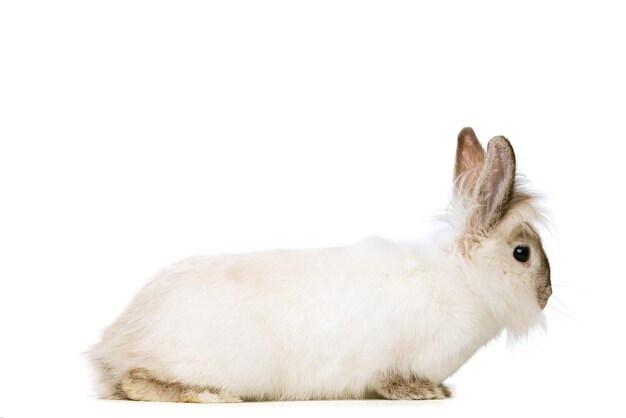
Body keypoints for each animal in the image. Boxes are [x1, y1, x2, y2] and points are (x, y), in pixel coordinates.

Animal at [85, 127, 548, 402]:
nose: (546, 294)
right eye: (521, 253)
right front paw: (426, 394)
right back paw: (214, 397)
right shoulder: (393, 361)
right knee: (132, 381)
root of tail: (117, 342)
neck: (464, 278)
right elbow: (391, 380)